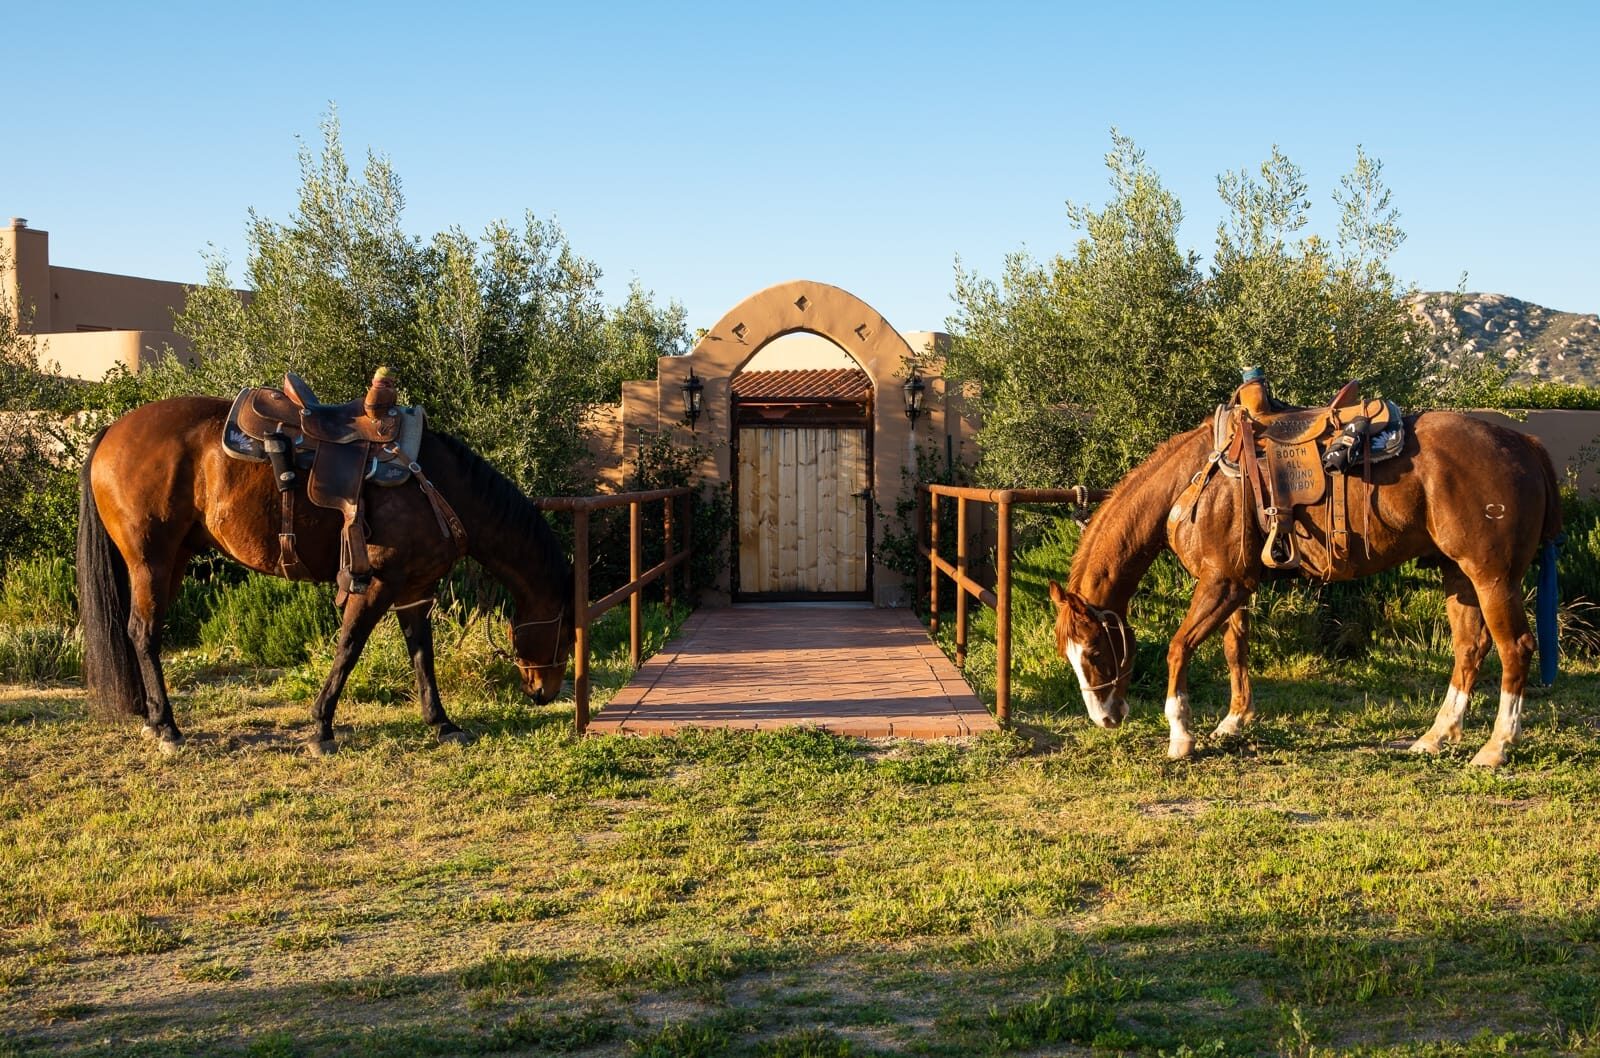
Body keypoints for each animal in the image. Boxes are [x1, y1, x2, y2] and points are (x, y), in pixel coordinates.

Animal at [77, 395, 574, 755]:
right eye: (567, 632)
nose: (544, 692)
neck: (436, 484)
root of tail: (111, 431)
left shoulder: (415, 588)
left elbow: (422, 655)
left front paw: (443, 724)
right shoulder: (378, 583)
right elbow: (349, 649)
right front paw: (321, 729)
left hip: (174, 559)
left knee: (142, 632)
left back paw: (152, 719)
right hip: (151, 561)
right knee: (143, 633)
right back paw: (166, 728)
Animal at [1047, 410, 1562, 768]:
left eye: (1094, 651)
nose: (1105, 718)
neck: (1197, 482)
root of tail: (1525, 443)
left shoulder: (1221, 583)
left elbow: (1179, 649)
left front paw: (1181, 736)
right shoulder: (1234, 586)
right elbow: (1236, 648)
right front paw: (1234, 722)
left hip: (1492, 576)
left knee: (1515, 647)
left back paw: (1496, 746)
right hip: (1458, 575)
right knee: (1469, 648)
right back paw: (1437, 736)